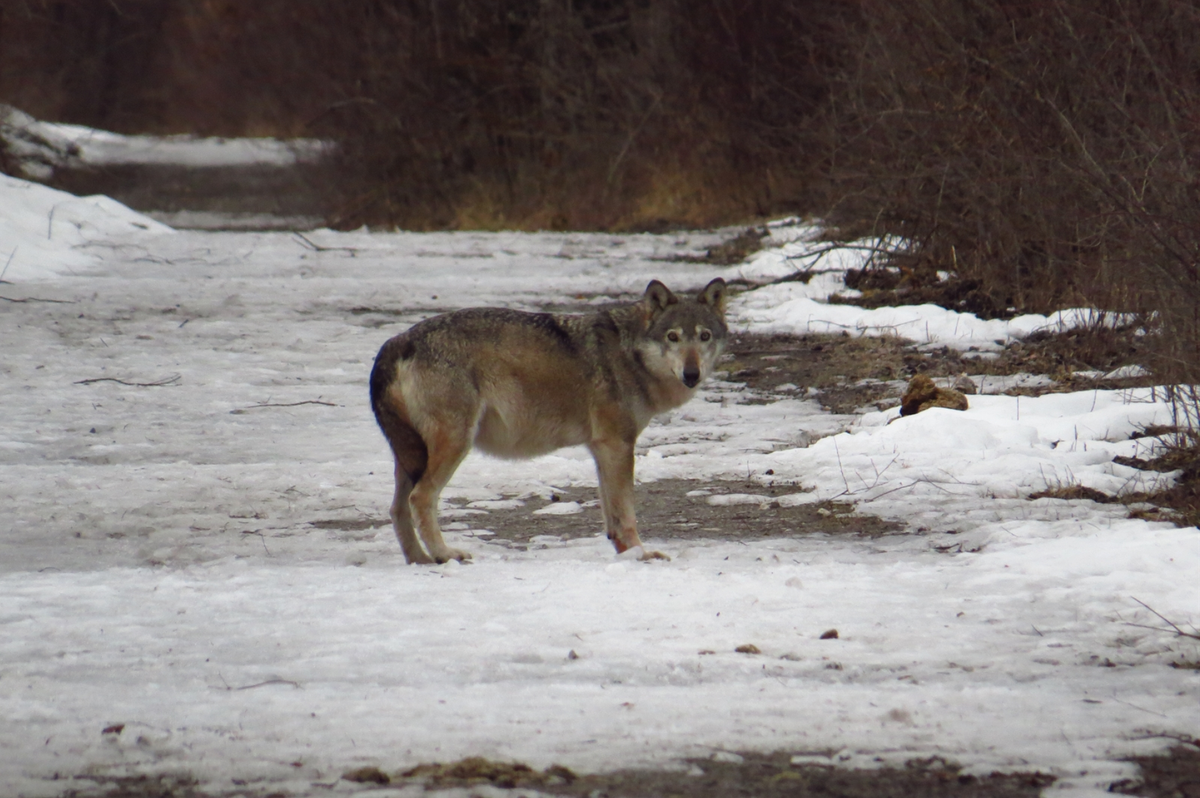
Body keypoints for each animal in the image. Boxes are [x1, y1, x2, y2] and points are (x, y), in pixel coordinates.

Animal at [369, 278, 729, 564]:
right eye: (672, 337)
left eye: (704, 336)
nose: (691, 374)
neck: (631, 356)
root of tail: (398, 340)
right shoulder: (618, 445)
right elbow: (626, 513)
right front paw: (641, 555)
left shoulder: (603, 449)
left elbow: (612, 518)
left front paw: (627, 554)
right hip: (454, 445)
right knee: (420, 499)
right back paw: (445, 555)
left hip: (412, 455)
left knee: (397, 509)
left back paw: (419, 560)